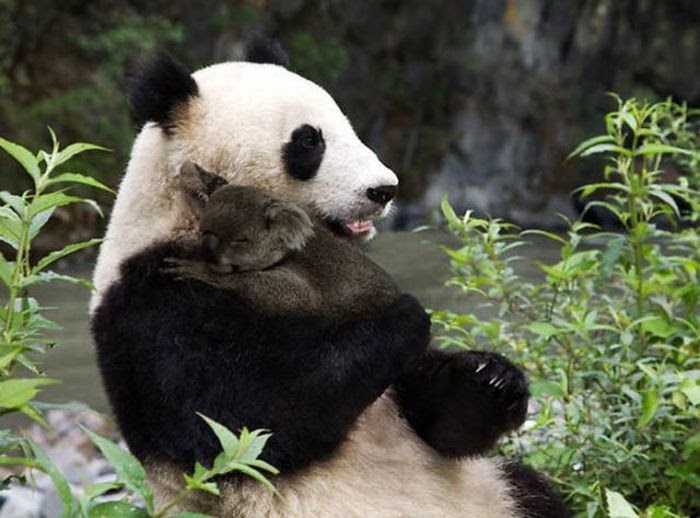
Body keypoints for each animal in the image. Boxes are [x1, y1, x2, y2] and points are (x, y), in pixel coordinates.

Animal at [90, 37, 569, 517]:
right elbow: (239, 423)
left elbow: (439, 420)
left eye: (348, 126)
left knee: (534, 492)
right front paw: (406, 318)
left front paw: (492, 377)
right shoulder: (154, 301)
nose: (384, 190)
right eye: (308, 141)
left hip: (497, 493)